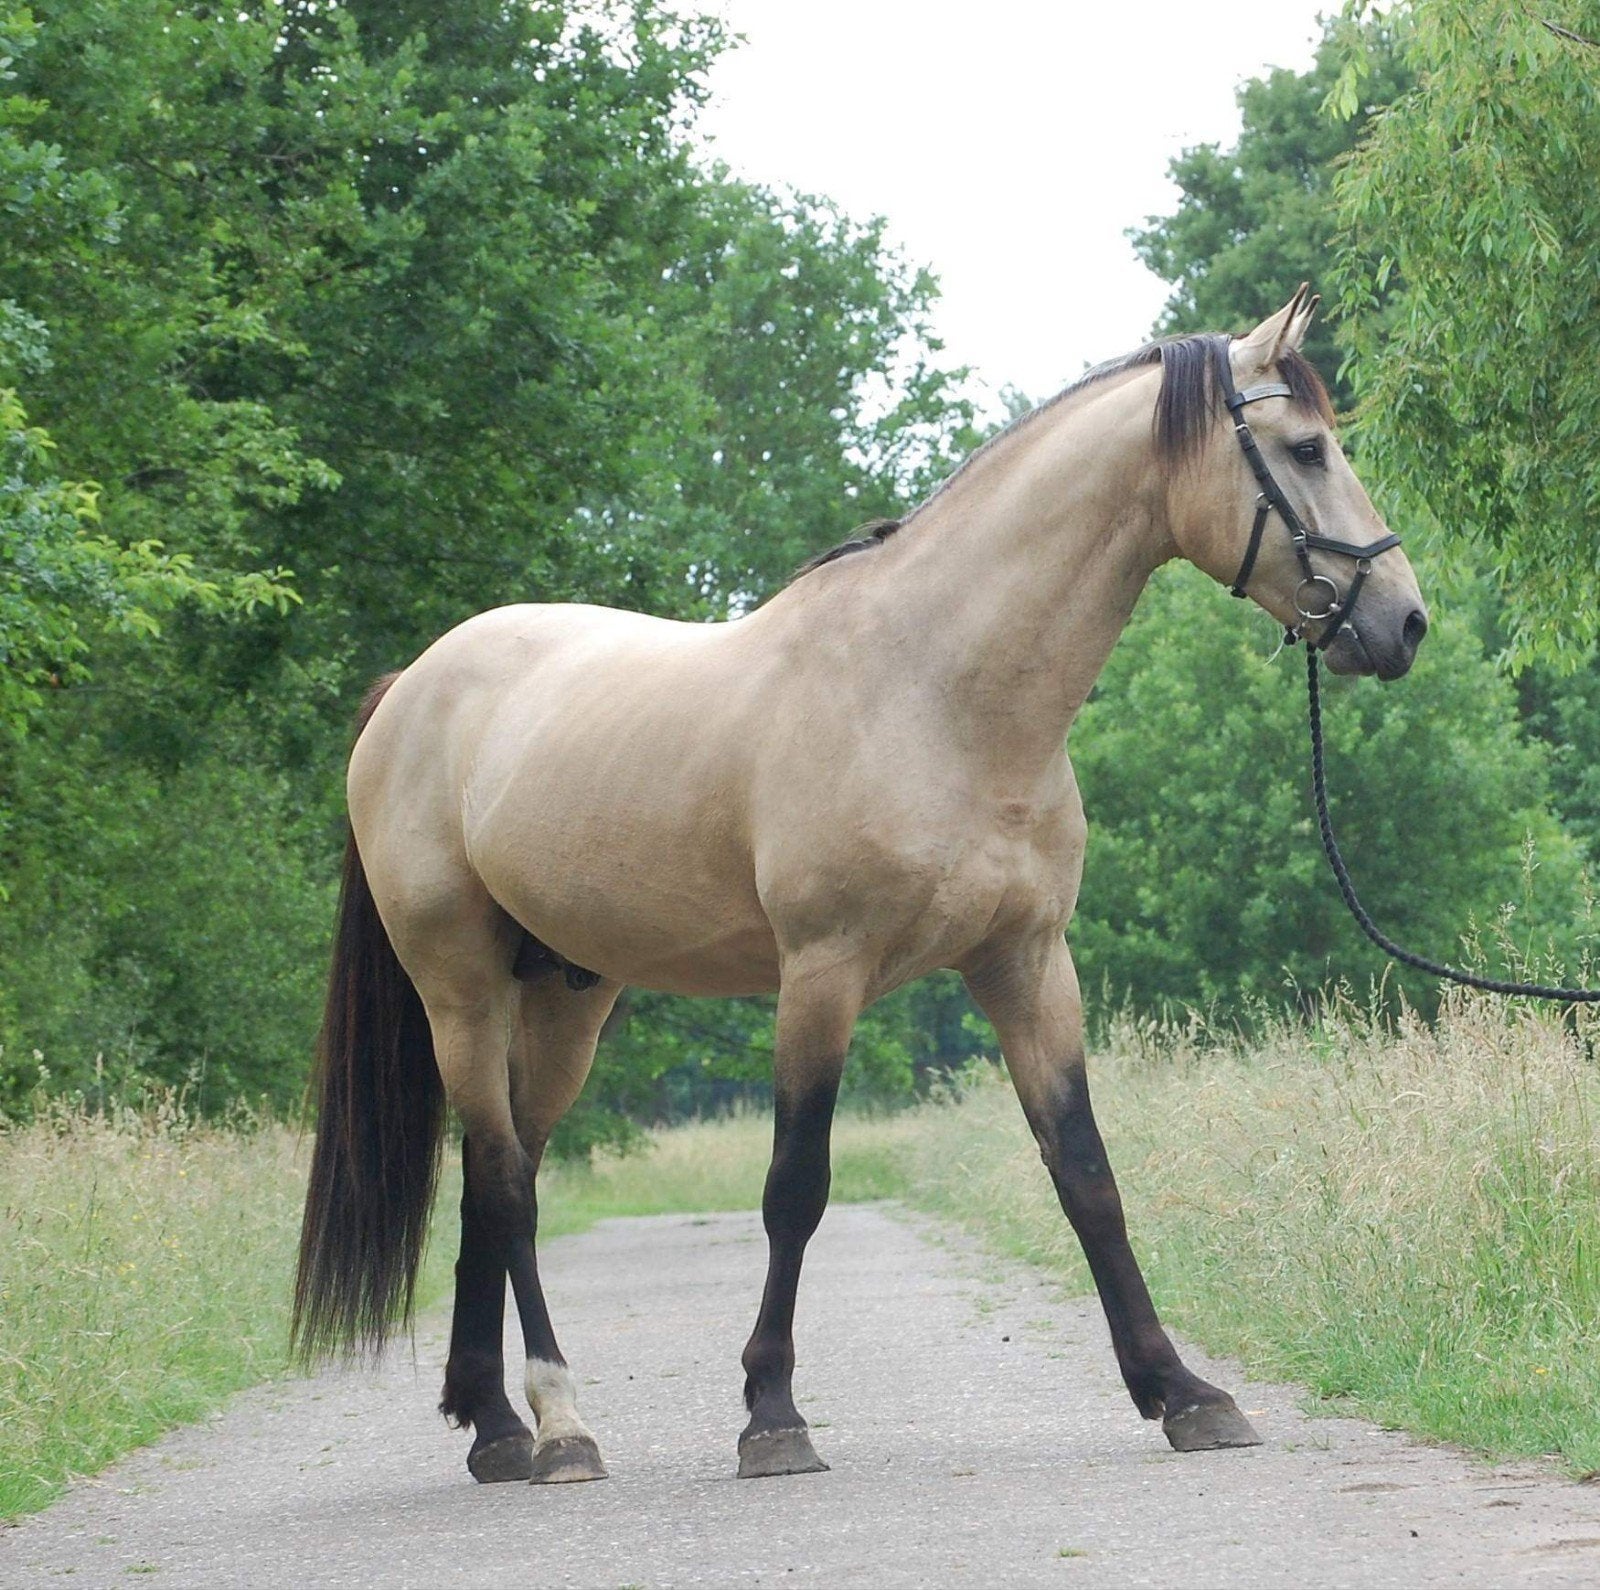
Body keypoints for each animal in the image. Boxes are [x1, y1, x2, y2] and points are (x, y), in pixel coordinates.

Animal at [293, 287, 1427, 1485]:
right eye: (1306, 449)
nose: (1402, 621)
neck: (932, 692)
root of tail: (410, 687)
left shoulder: (1026, 965)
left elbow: (1085, 1174)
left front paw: (1183, 1392)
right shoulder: (821, 975)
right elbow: (796, 1188)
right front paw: (772, 1415)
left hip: (564, 1003)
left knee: (490, 1176)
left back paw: (495, 1426)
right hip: (460, 990)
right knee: (507, 1186)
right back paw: (557, 1427)